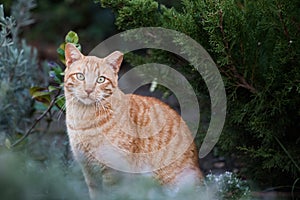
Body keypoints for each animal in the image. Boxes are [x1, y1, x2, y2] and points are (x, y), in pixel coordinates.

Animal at [64, 42, 203, 198]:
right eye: (80, 76)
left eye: (101, 79)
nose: (88, 90)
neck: (83, 119)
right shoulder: (88, 170)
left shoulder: (113, 171)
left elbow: (111, 194)